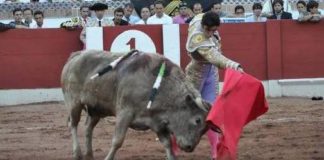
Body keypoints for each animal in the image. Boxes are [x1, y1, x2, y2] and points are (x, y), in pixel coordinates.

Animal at [60, 49, 211, 159]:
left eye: (206, 128)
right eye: (197, 120)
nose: (190, 147)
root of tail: (76, 55)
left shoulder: (157, 122)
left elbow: (167, 144)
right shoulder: (124, 113)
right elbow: (117, 140)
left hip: (96, 109)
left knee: (88, 127)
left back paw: (89, 153)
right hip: (73, 103)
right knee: (73, 124)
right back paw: (77, 153)